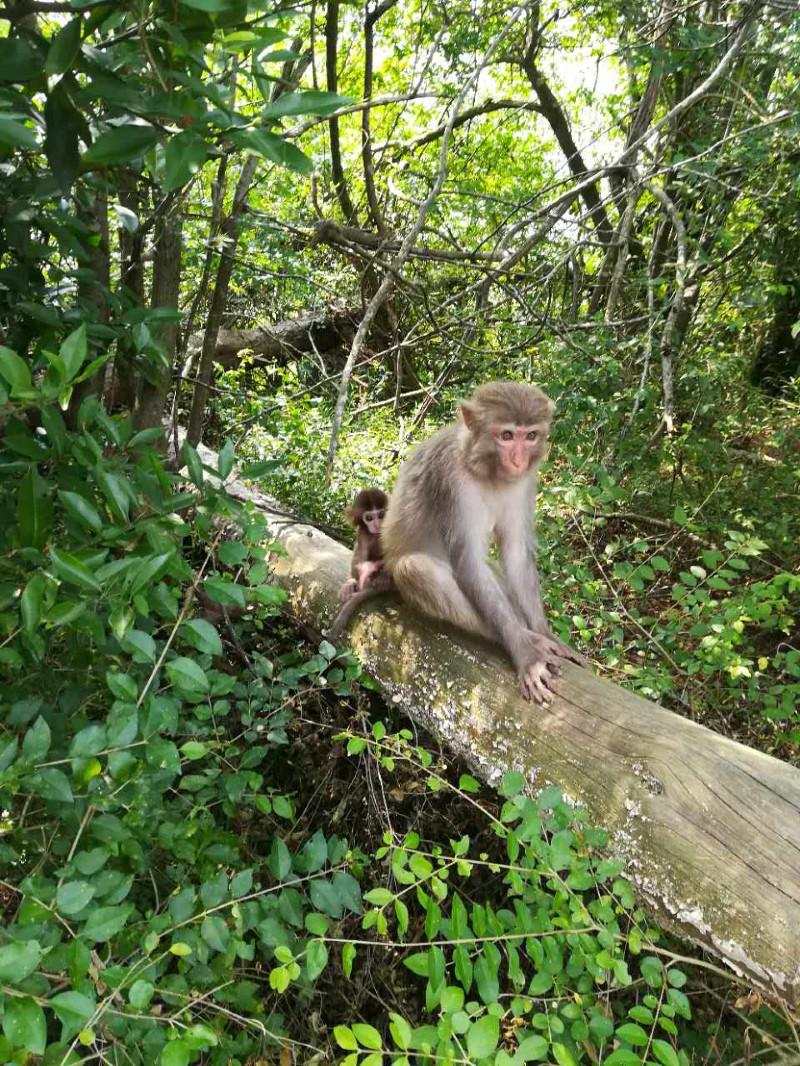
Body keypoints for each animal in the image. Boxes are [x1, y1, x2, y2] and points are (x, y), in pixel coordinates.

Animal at [326, 488, 392, 635]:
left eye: (381, 515)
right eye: (369, 518)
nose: (377, 524)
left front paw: (383, 577)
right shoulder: (363, 532)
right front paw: (352, 581)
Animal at [381, 379, 584, 703]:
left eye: (530, 436)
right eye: (506, 435)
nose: (518, 460)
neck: (484, 468)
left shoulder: (524, 482)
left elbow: (515, 555)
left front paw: (544, 631)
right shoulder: (452, 482)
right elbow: (470, 564)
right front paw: (526, 650)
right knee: (415, 569)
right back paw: (526, 638)